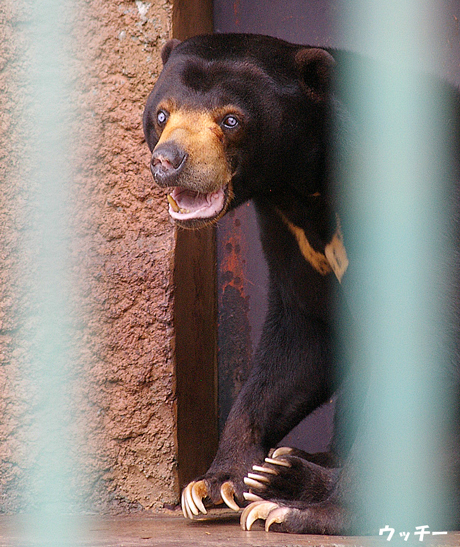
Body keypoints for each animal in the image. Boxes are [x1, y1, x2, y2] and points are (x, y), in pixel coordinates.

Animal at [144, 33, 460, 536]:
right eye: (161, 114)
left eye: (231, 120)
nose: (168, 162)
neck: (306, 184)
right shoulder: (289, 231)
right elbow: (301, 333)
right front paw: (215, 483)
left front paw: (310, 514)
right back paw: (281, 469)